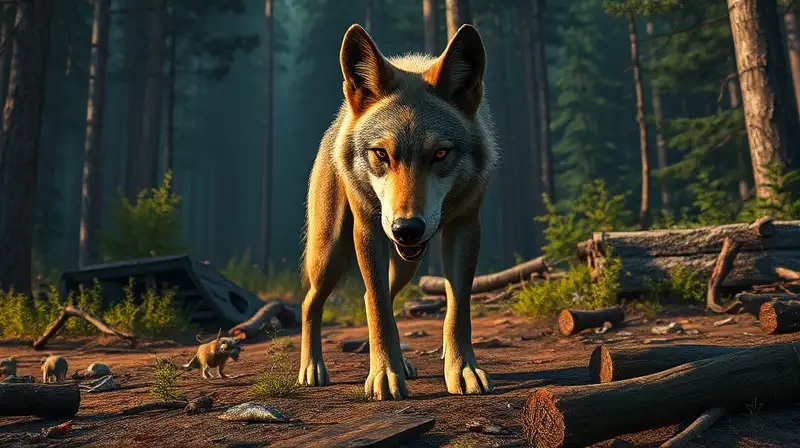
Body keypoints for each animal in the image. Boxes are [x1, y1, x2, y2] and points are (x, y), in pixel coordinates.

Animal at [297, 23, 499, 401]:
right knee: (311, 302)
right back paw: (312, 368)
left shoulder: (466, 227)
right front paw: (383, 376)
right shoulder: (367, 229)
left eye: (440, 154)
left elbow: (457, 307)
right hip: (331, 253)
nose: (407, 228)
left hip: (408, 263)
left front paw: (462, 370)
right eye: (381, 153)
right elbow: (378, 308)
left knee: (371, 295)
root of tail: (338, 121)